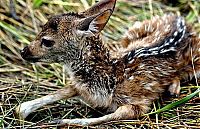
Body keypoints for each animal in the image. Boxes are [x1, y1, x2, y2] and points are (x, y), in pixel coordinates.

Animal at [17, 0, 200, 126]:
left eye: (47, 41)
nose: (23, 51)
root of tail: (181, 19)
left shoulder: (138, 102)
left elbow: (112, 115)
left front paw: (62, 121)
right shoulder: (81, 87)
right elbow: (63, 91)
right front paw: (22, 110)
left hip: (196, 62)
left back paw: (173, 89)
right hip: (130, 34)